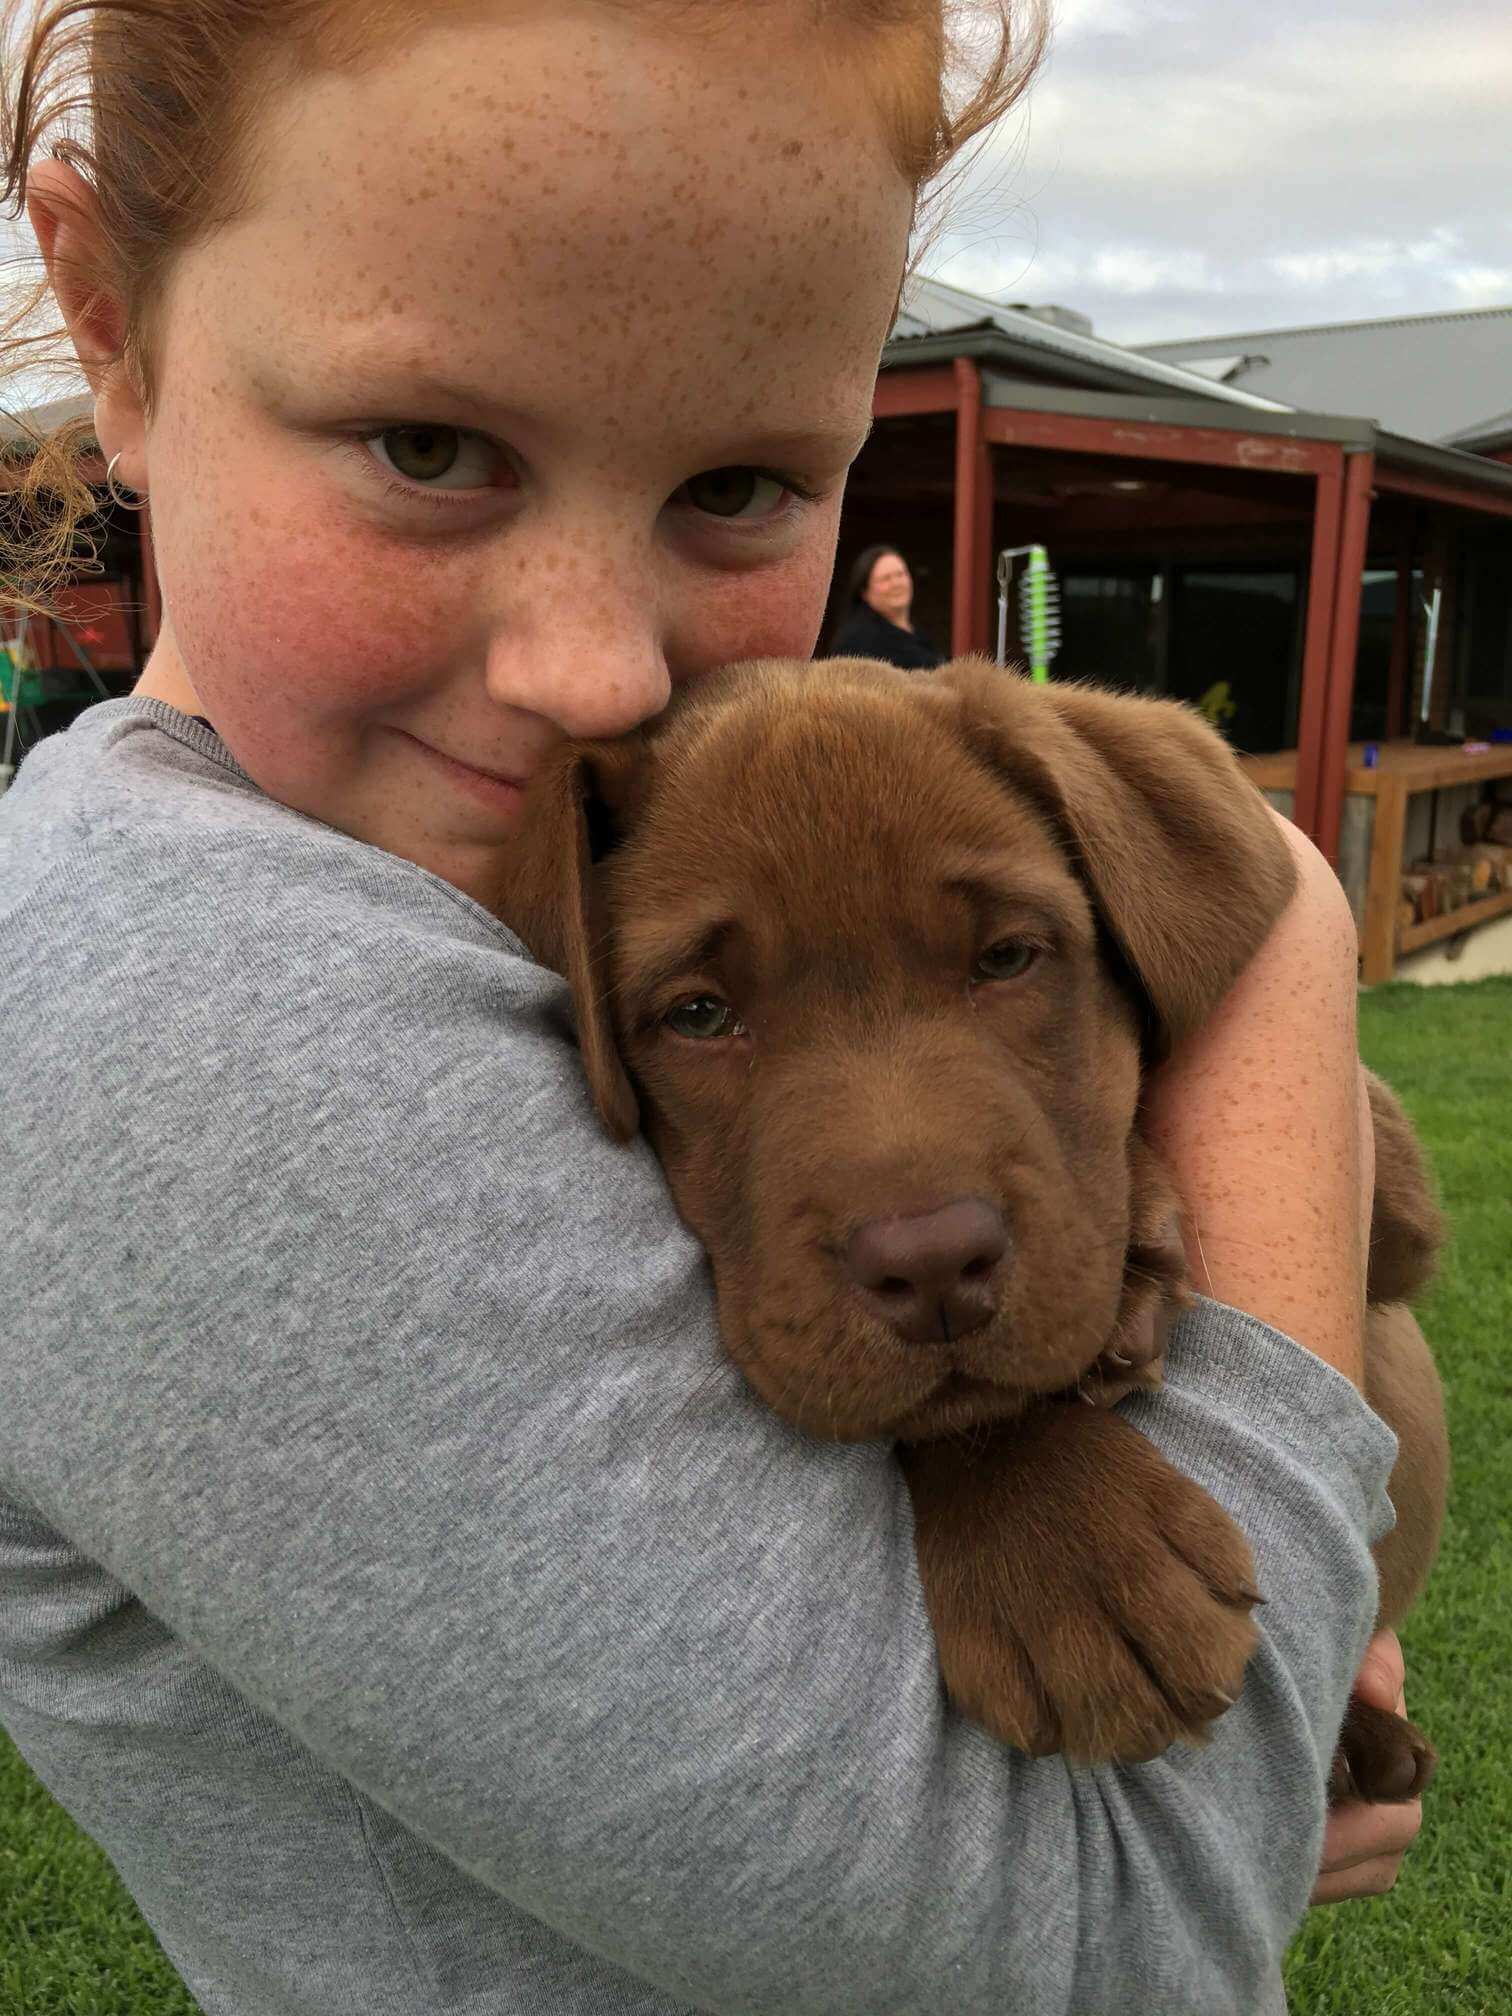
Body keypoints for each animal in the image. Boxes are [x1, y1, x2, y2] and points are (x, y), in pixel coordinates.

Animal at [507, 654, 1449, 1800]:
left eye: (1007, 958)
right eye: (698, 1016)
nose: (932, 1270)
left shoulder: (1395, 1197)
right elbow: (949, 1413)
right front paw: (1067, 1555)